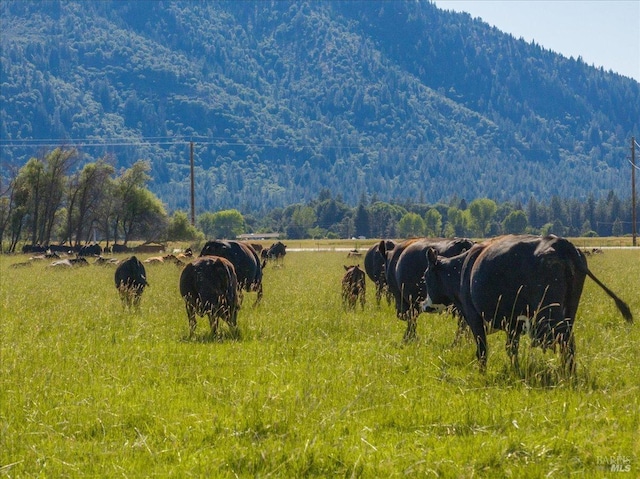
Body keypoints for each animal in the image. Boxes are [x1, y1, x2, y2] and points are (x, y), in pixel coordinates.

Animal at [420, 236, 636, 376]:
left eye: (425, 276)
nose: (424, 305)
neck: (461, 270)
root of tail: (560, 243)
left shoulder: (473, 317)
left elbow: (482, 350)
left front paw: (481, 373)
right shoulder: (513, 324)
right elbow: (511, 349)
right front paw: (515, 370)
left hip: (551, 312)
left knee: (566, 340)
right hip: (569, 309)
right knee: (569, 342)